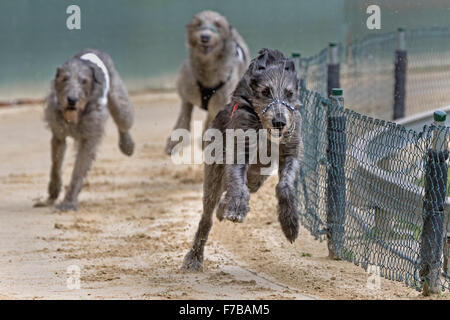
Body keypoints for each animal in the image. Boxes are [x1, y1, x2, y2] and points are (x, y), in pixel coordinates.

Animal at [34, 48, 134, 211]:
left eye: (84, 81)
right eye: (64, 78)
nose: (72, 100)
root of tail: (93, 49)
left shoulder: (89, 139)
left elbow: (78, 170)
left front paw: (68, 203)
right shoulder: (58, 135)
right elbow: (56, 164)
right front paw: (53, 193)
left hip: (119, 100)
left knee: (123, 121)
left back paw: (127, 145)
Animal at [165, 10, 250, 155]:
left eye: (218, 25)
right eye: (198, 24)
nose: (205, 37)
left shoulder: (219, 101)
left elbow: (211, 120)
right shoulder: (187, 93)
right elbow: (183, 118)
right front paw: (174, 142)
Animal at [184, 48, 306, 272]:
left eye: (289, 93)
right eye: (265, 91)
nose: (279, 122)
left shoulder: (291, 150)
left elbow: (285, 184)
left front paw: (290, 222)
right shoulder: (240, 147)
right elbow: (237, 180)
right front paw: (237, 208)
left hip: (257, 177)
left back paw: (223, 207)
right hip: (214, 171)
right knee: (208, 212)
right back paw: (195, 256)